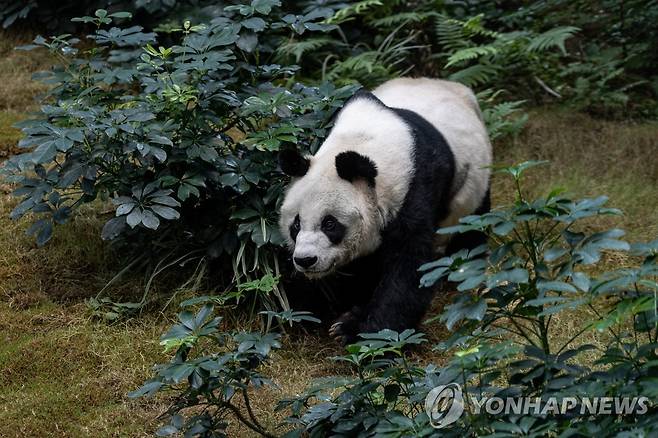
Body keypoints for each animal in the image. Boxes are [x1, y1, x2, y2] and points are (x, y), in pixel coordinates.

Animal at [276, 78, 486, 346]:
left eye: (329, 224)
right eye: (295, 225)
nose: (305, 260)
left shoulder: (415, 189)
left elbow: (409, 266)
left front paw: (366, 333)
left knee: (472, 225)